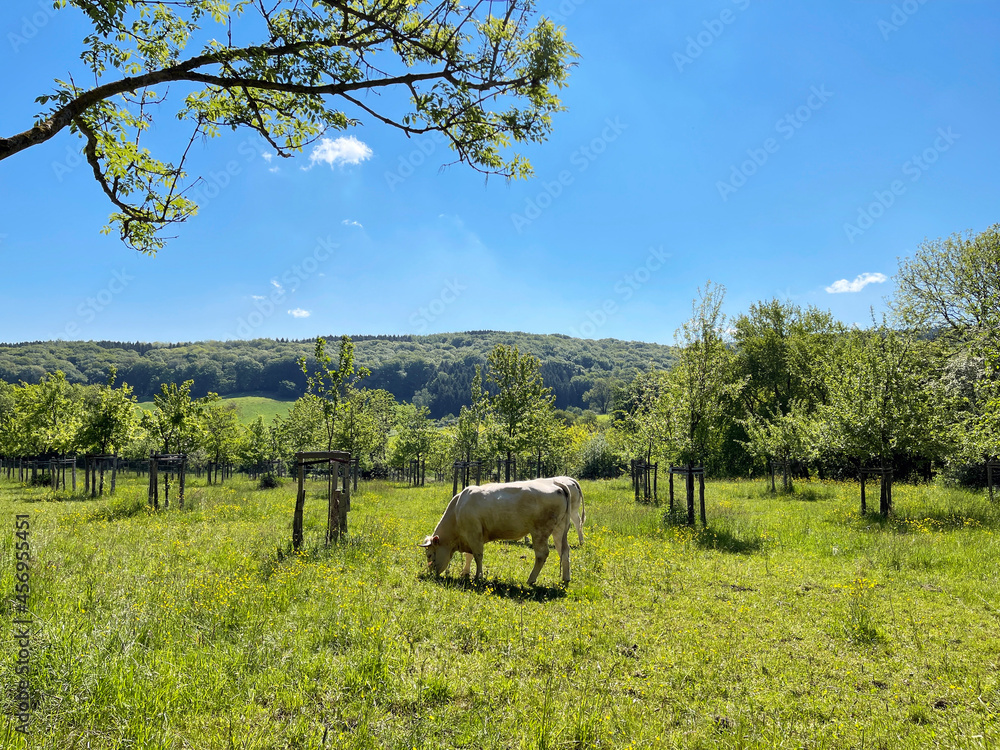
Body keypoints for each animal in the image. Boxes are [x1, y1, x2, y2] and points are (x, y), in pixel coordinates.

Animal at [419, 478, 574, 584]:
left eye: (429, 555)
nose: (431, 574)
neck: (457, 510)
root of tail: (555, 483)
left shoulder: (474, 534)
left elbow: (477, 556)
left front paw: (478, 576)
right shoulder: (470, 537)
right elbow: (469, 556)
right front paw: (465, 573)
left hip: (540, 531)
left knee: (542, 554)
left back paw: (531, 579)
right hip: (559, 529)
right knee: (564, 550)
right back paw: (566, 579)